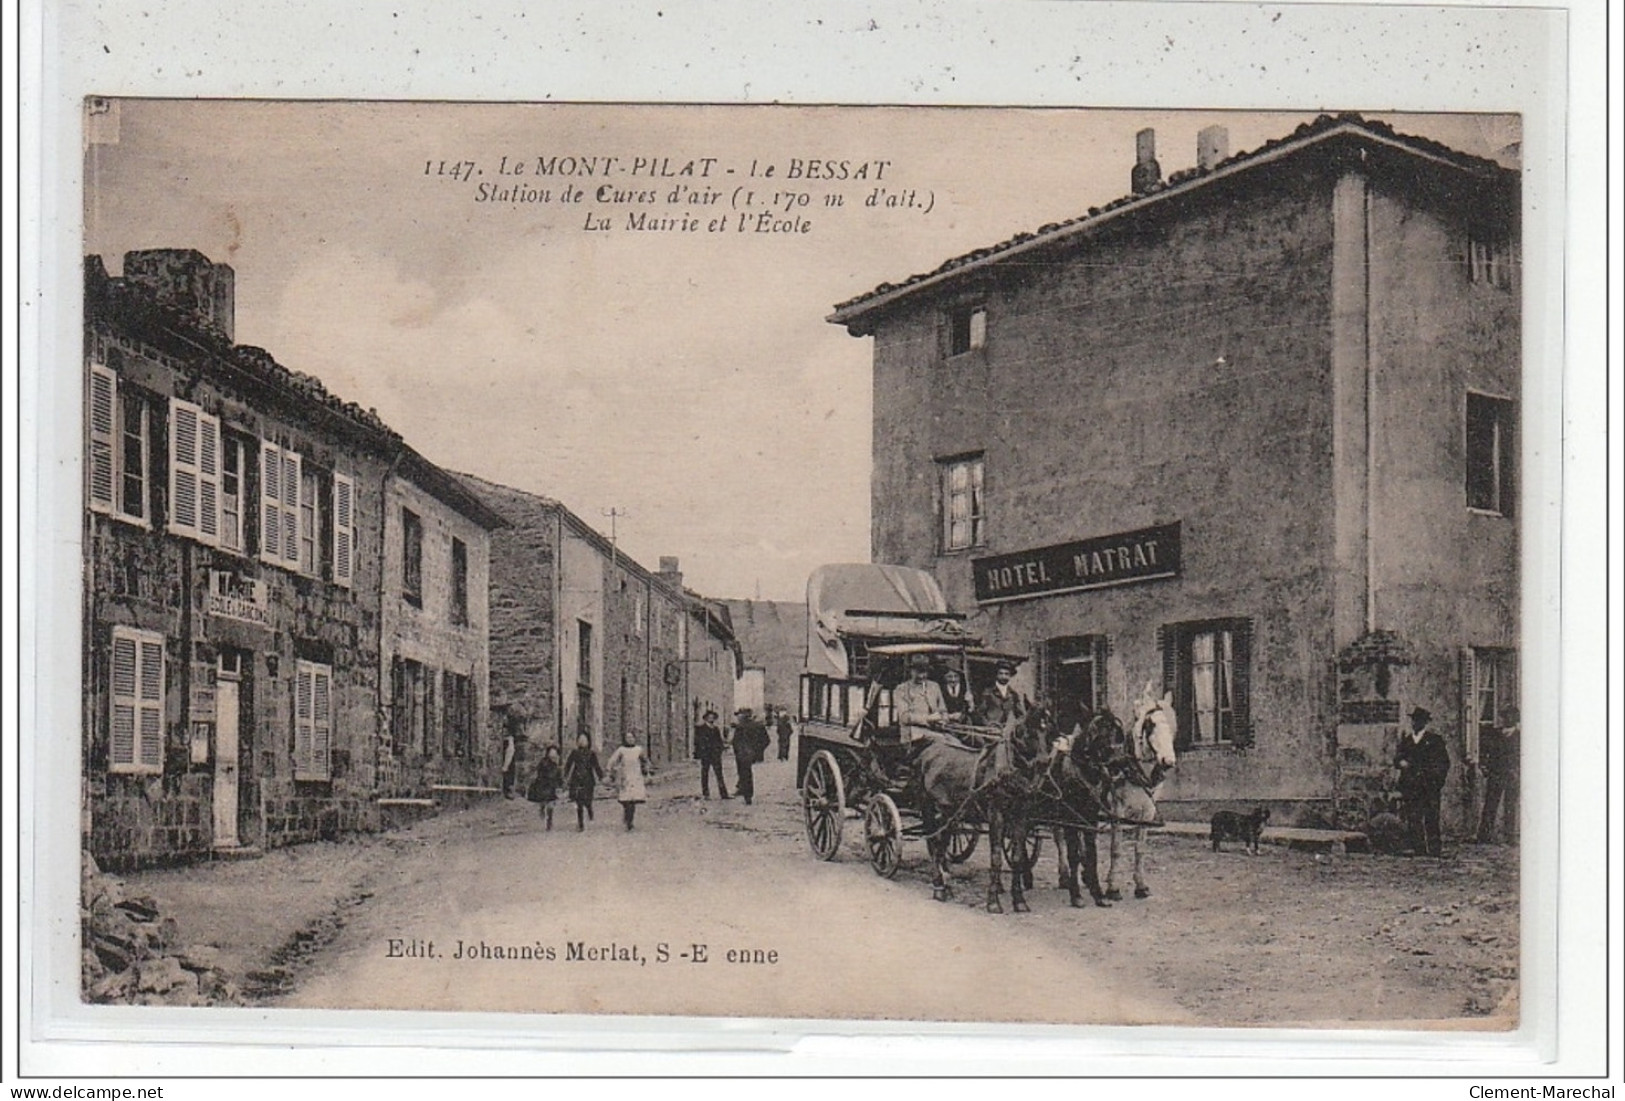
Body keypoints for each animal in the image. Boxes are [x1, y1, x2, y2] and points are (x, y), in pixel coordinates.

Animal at [916, 708, 1053, 915]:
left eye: (1049, 731)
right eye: (1028, 731)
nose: (1044, 763)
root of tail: (928, 751)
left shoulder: (1021, 816)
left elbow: (1017, 858)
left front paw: (1019, 901)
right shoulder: (996, 815)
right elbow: (996, 858)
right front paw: (993, 902)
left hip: (950, 814)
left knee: (941, 845)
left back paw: (946, 886)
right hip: (930, 809)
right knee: (934, 844)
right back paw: (939, 887)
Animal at [1098, 682, 1176, 902]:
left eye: (1172, 724)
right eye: (1150, 724)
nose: (1168, 761)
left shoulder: (1147, 812)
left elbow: (1140, 849)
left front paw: (1141, 886)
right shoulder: (1117, 811)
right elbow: (1116, 848)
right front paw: (1113, 888)